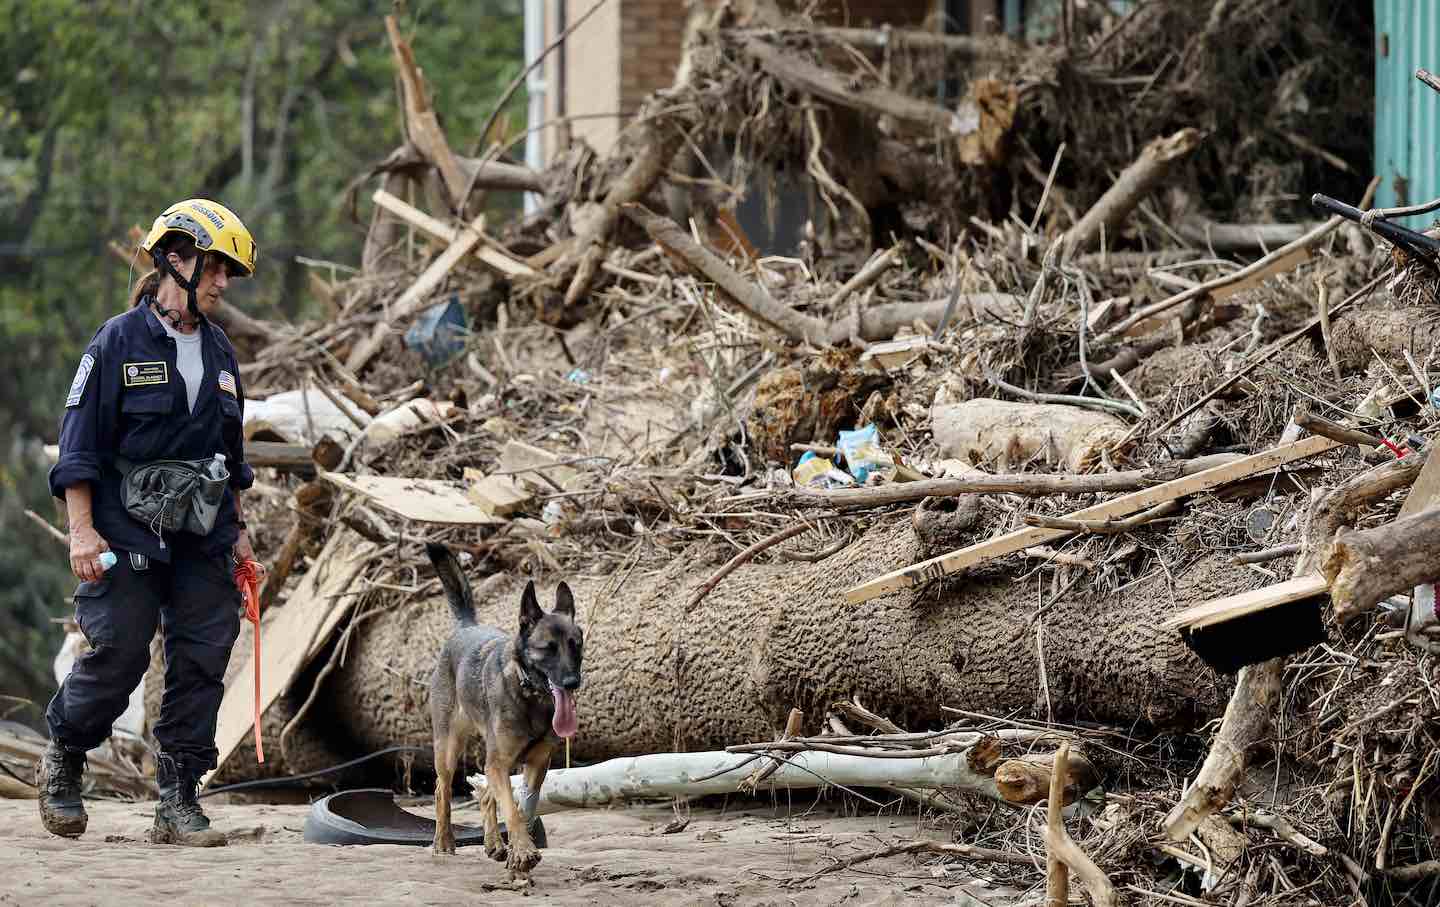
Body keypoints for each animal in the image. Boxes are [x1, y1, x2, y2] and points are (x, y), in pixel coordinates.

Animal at [423, 544, 581, 875]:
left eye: (576, 645)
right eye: (548, 648)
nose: (572, 682)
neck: (530, 695)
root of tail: (467, 626)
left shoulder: (535, 764)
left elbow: (523, 806)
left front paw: (517, 847)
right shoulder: (498, 763)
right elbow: (510, 806)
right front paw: (523, 851)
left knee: (484, 795)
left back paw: (494, 843)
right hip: (448, 748)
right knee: (442, 789)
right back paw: (444, 842)